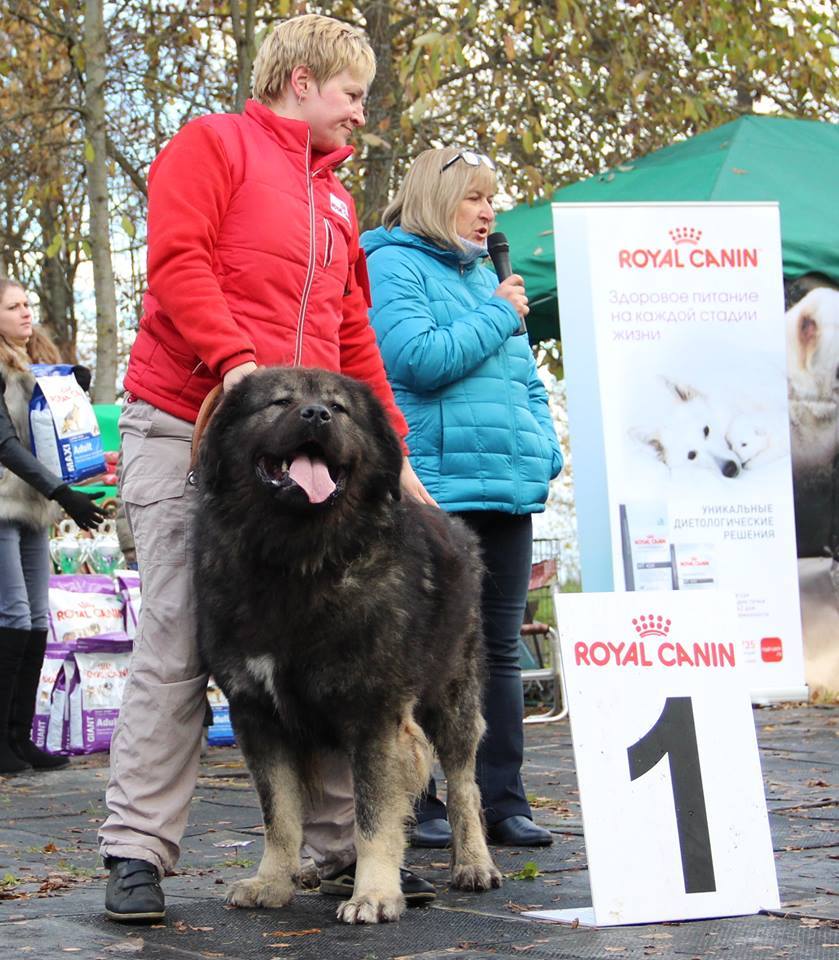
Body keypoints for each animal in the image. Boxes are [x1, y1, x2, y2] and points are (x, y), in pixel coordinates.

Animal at [194, 368, 502, 924]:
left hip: (453, 697)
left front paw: (374, 895)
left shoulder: (376, 715)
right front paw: (272, 883)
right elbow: (280, 815)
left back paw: (473, 864)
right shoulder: (257, 715)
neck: (297, 558)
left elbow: (374, 815)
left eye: (339, 409)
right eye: (281, 402)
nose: (317, 415)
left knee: (465, 785)